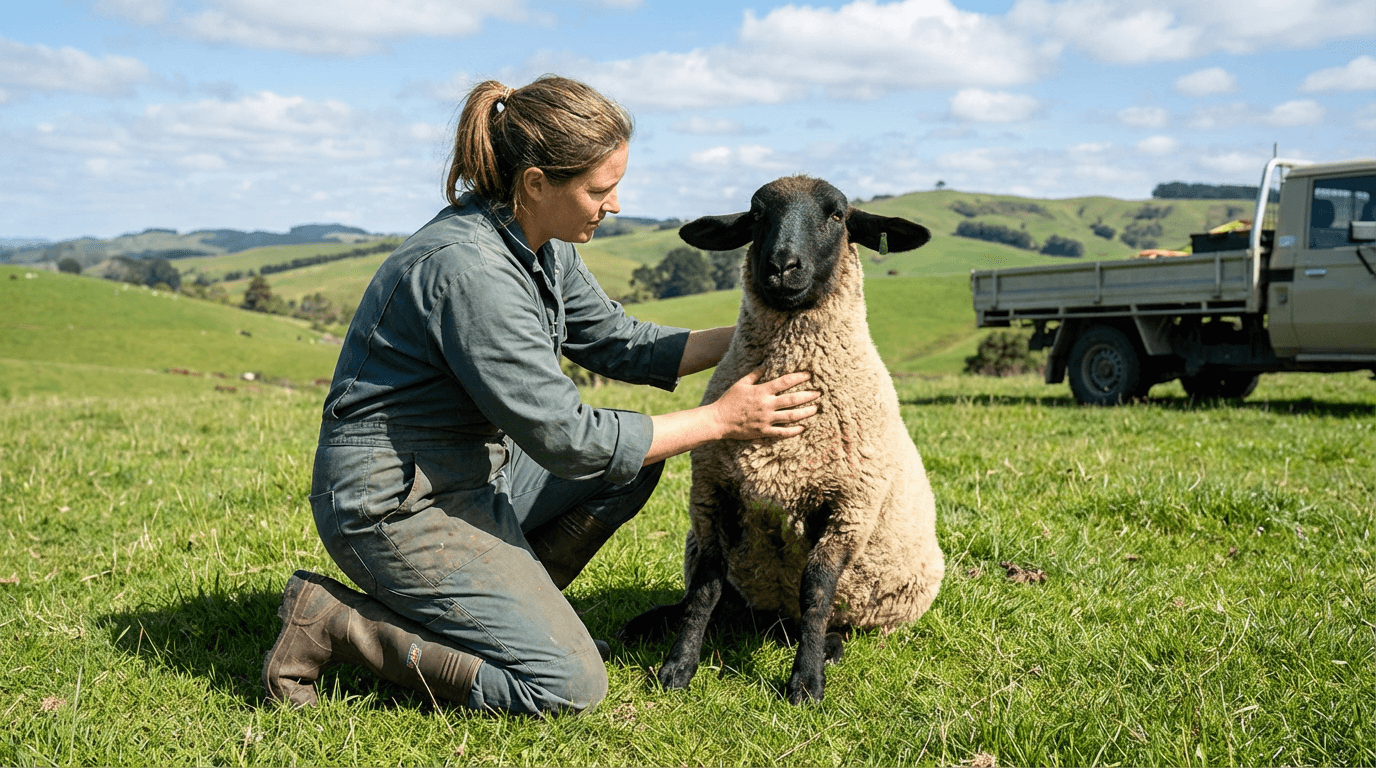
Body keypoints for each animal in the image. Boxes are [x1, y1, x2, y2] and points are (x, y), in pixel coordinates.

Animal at [619, 175, 945, 704]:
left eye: (838, 215)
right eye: (755, 215)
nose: (781, 266)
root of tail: (773, 620)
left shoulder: (848, 509)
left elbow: (816, 592)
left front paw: (806, 682)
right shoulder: (711, 495)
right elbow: (705, 589)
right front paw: (678, 666)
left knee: (830, 618)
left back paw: (829, 645)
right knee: (718, 601)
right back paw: (652, 621)